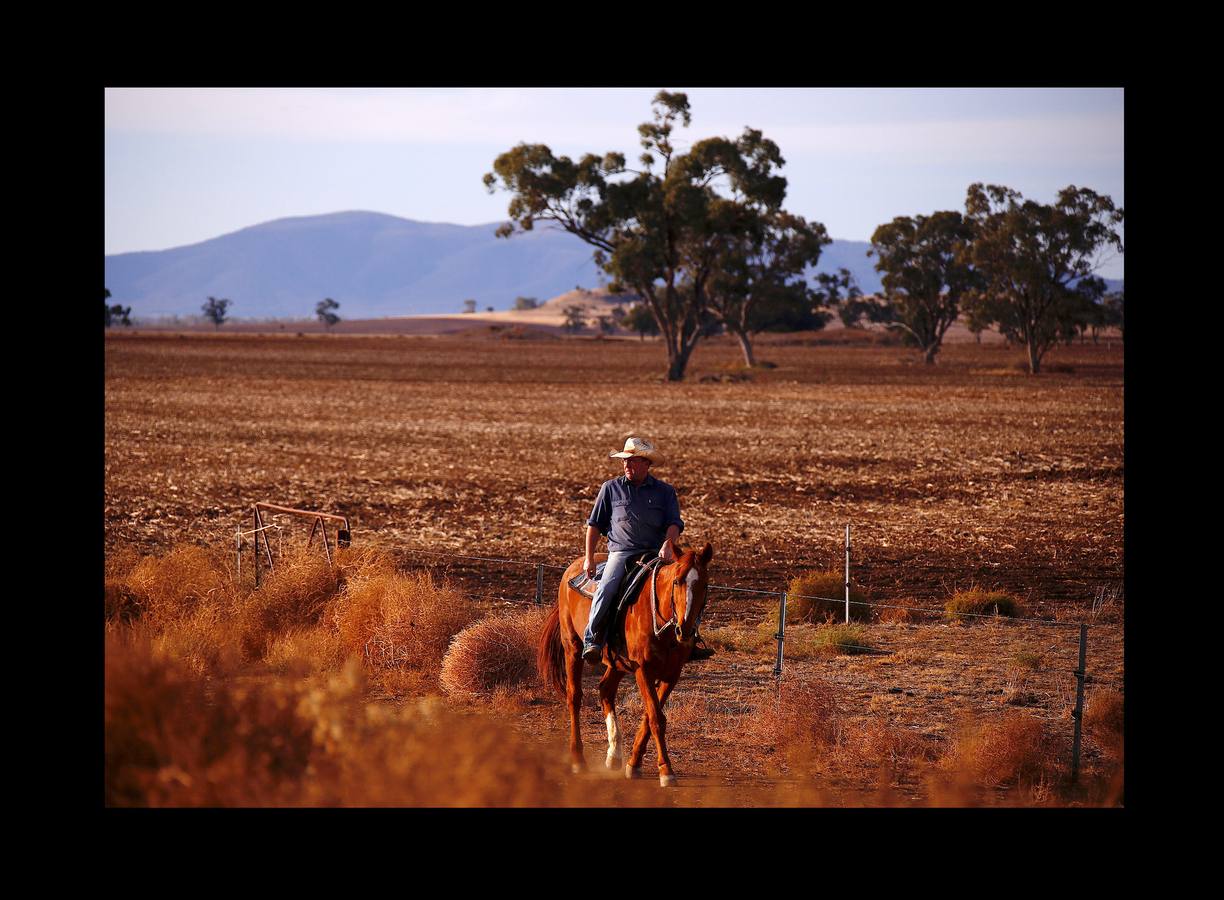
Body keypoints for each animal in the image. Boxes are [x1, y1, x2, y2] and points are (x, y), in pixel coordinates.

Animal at [538, 538, 714, 783]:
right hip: (572, 647)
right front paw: (666, 769)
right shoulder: (644, 670)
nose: (685, 630)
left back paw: (614, 755)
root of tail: (573, 567)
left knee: (605, 690)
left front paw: (634, 763)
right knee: (574, 697)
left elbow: (650, 716)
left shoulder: (672, 675)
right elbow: (656, 718)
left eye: (705, 585)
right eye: (677, 581)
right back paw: (578, 759)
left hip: (617, 663)